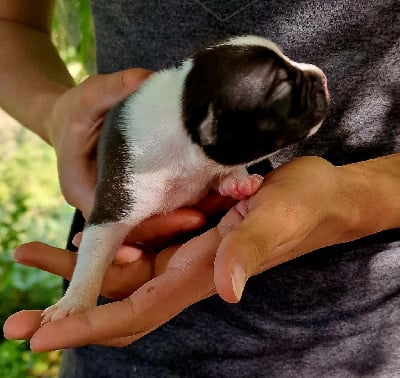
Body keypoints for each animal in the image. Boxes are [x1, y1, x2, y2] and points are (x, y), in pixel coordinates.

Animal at [40, 36, 330, 322]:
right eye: (284, 88)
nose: (322, 77)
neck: (181, 112)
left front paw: (238, 181)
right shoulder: (120, 195)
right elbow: (94, 251)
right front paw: (74, 304)